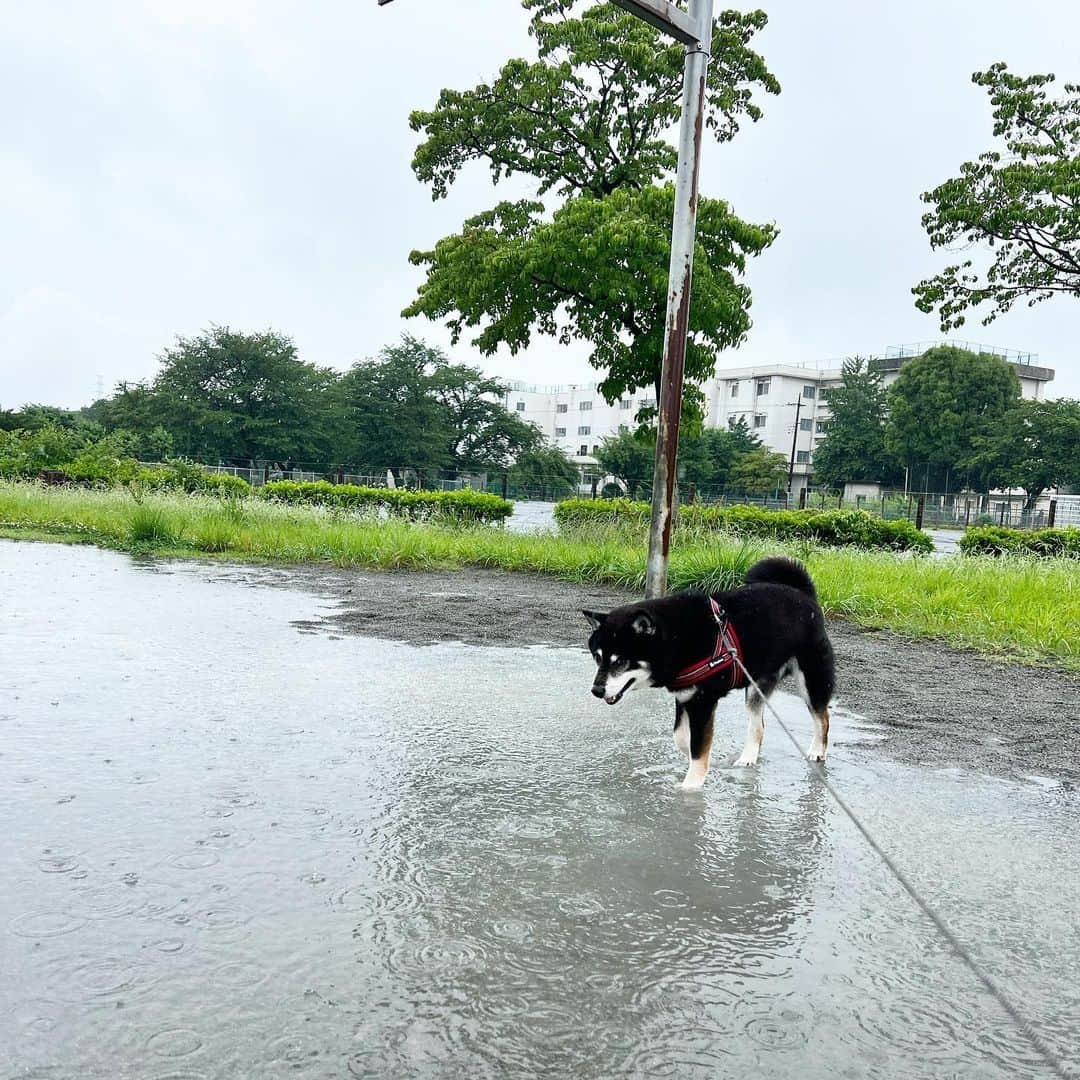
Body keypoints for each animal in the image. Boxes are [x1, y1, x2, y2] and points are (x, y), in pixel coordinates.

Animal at [583, 561, 833, 790]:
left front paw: (691, 786)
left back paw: (816, 751)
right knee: (758, 726)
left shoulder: (702, 701)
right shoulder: (686, 696)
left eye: (620, 661)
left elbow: (698, 748)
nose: (596, 690)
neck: (679, 637)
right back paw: (748, 758)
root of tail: (803, 594)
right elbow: (683, 739)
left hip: (811, 679)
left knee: (822, 718)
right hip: (755, 687)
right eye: (597, 658)